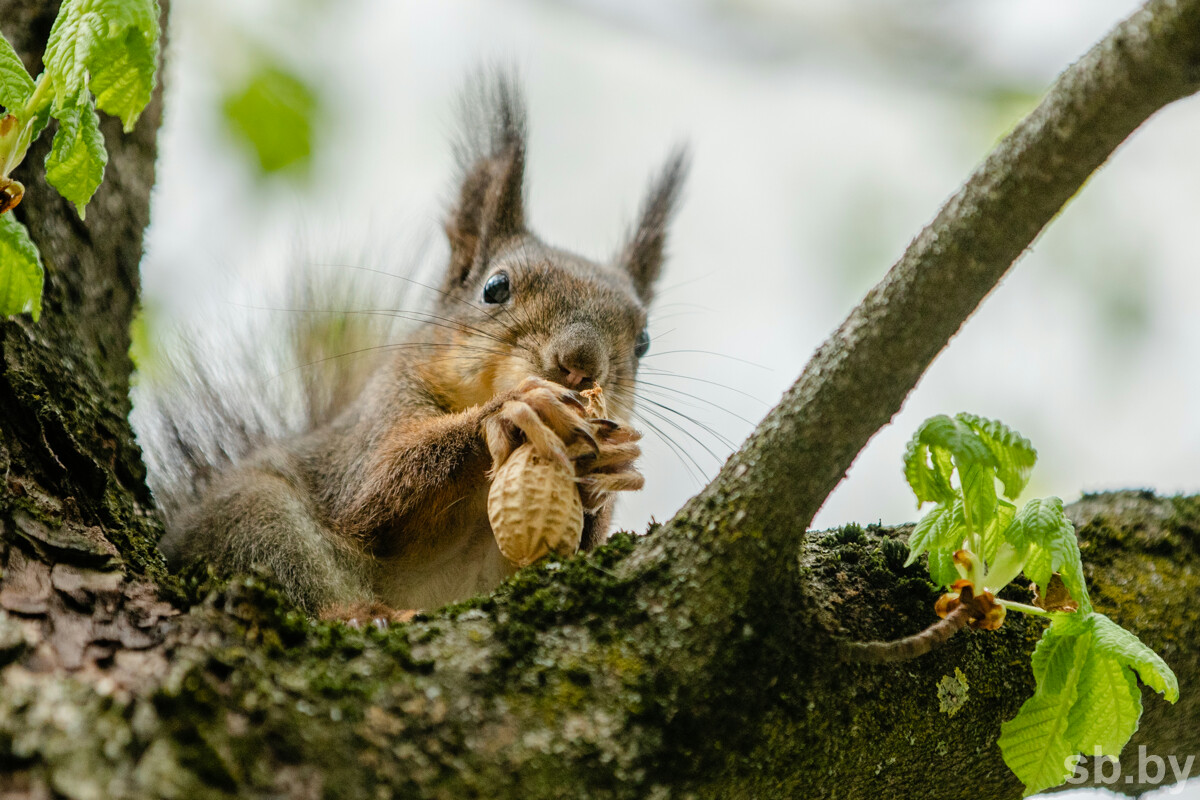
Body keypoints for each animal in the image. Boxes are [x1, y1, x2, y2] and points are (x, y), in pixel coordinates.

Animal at [133, 74, 686, 623]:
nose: (579, 364)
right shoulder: (376, 419)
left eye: (643, 341)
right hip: (253, 516)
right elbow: (378, 486)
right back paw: (361, 613)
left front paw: (610, 470)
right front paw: (510, 412)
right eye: (495, 288)